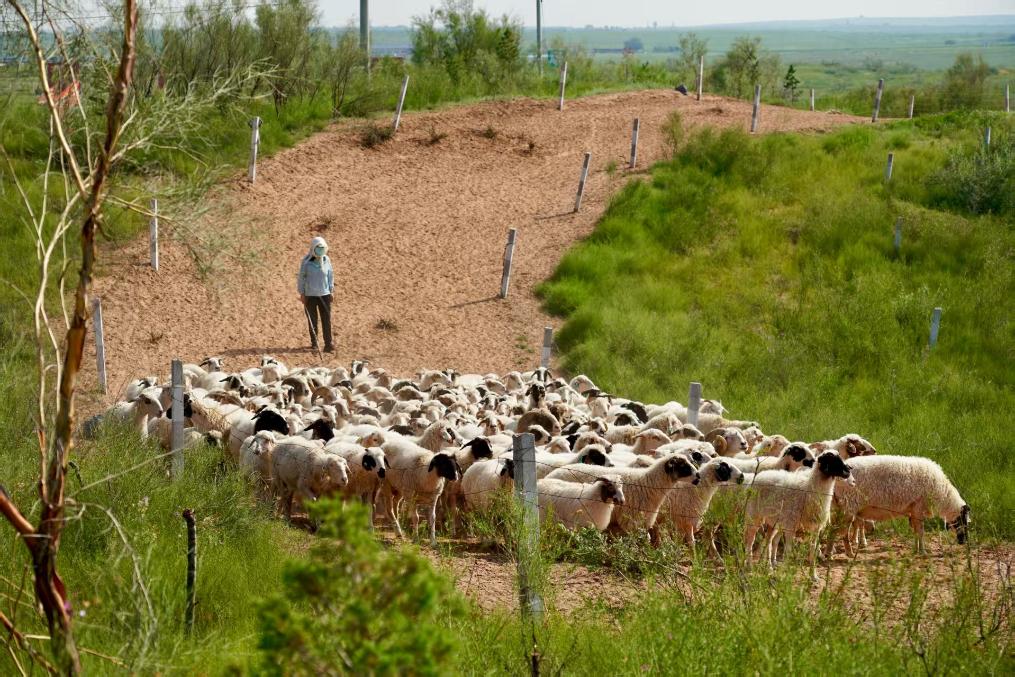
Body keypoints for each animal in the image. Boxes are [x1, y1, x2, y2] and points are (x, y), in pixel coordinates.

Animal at [831, 455, 969, 555]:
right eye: (963, 521)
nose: (964, 541)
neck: (942, 494)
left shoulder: (913, 510)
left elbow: (916, 531)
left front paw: (916, 549)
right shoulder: (919, 507)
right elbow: (920, 532)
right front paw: (923, 551)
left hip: (840, 506)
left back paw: (831, 552)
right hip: (848, 505)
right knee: (840, 531)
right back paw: (846, 553)